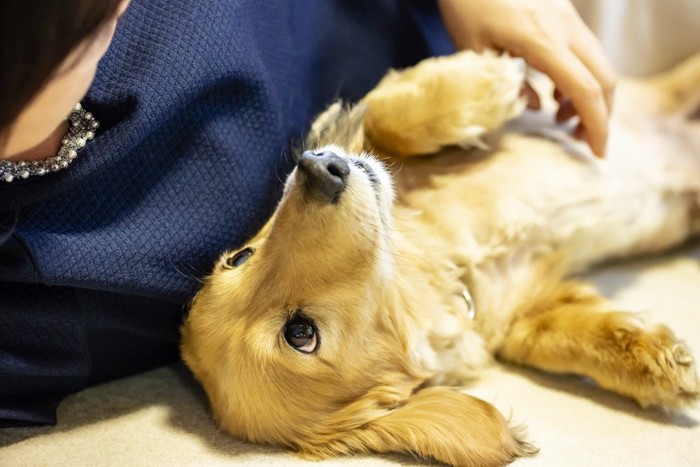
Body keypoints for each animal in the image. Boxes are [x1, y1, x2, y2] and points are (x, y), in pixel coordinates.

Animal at [182, 52, 700, 467]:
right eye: (300, 334)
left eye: (239, 258)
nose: (318, 169)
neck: (445, 265)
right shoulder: (527, 314)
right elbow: (568, 337)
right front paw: (664, 364)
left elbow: (388, 116)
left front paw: (489, 79)